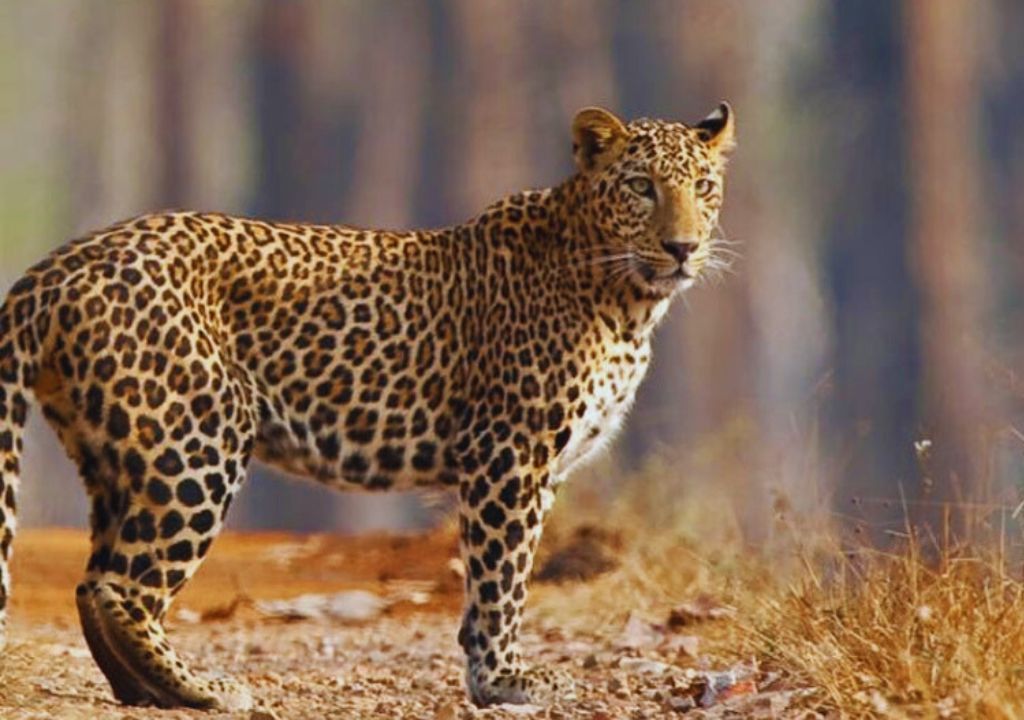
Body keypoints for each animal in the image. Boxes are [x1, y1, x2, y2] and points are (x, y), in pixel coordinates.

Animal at [0, 103, 735, 710]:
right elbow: (502, 578)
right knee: (121, 586)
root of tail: (55, 267)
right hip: (196, 444)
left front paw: (485, 676)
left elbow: (492, 584)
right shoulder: (509, 455)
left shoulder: (535, 470)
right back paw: (203, 690)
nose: (683, 247)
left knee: (92, 583)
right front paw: (505, 680)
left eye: (703, 187)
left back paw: (145, 690)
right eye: (641, 187)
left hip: (119, 453)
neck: (627, 302)